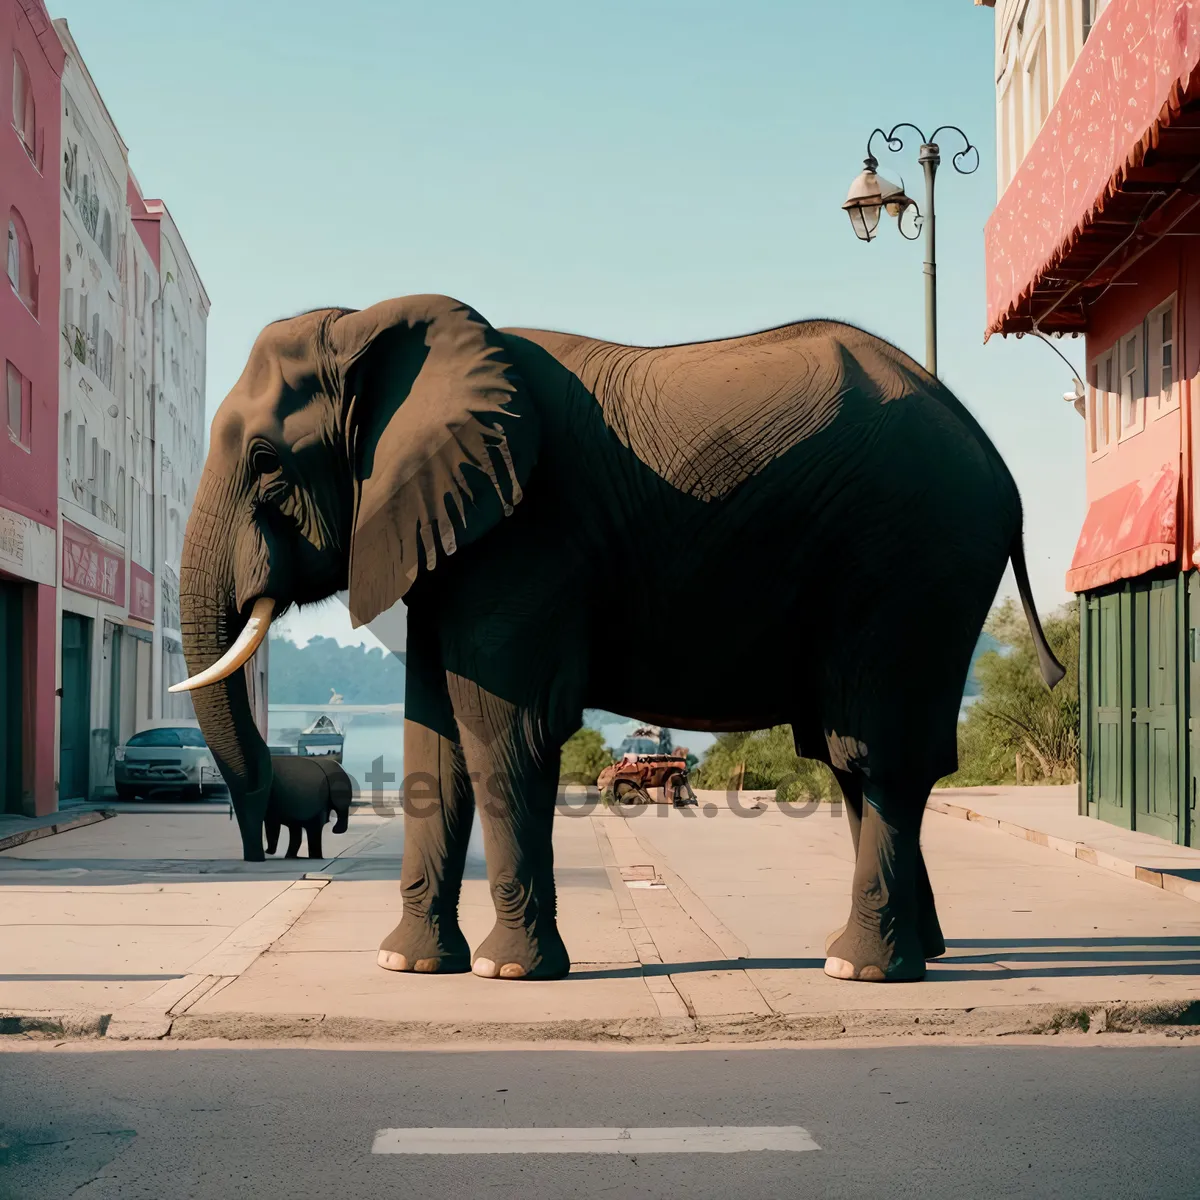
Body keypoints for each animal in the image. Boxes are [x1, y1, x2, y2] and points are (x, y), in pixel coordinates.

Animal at [171, 292, 1060, 984]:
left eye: (267, 462)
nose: (261, 858)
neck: (378, 331)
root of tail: (1002, 470)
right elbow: (434, 740)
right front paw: (409, 966)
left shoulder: (528, 538)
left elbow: (504, 731)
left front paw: (508, 973)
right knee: (862, 763)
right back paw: (925, 953)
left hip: (908, 564)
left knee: (873, 754)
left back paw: (862, 967)